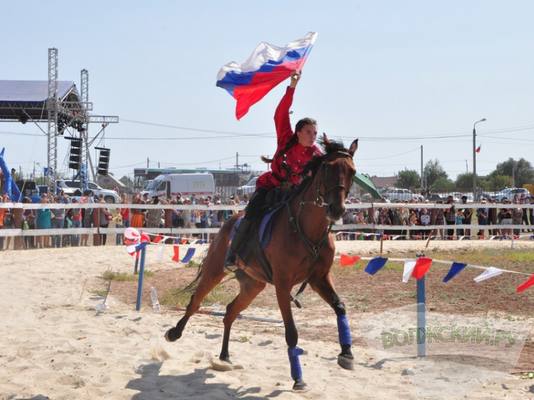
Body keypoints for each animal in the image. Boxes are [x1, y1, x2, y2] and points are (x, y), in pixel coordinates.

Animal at [166, 136, 360, 390]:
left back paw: (225, 355)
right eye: (327, 168)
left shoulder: (319, 279)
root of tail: (229, 221)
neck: (305, 227)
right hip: (214, 271)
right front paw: (298, 377)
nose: (337, 209)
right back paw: (175, 332)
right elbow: (291, 333)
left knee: (230, 311)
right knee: (195, 303)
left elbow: (340, 307)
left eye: (353, 172)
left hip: (252, 286)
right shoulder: (283, 285)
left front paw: (346, 353)